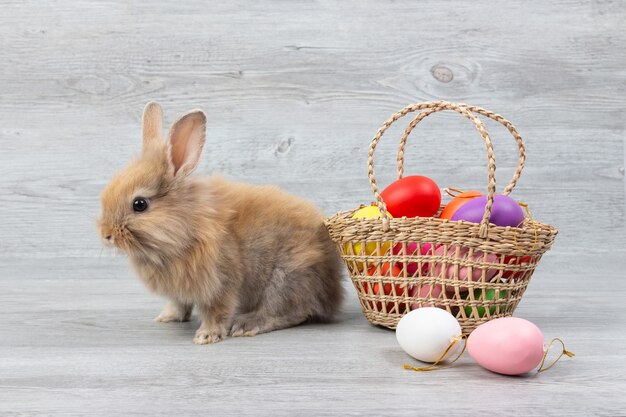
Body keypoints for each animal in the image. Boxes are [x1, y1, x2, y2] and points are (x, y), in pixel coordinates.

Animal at [98, 102, 344, 342]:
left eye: (139, 204)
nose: (106, 235)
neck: (187, 227)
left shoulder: (220, 283)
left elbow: (217, 311)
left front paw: (206, 336)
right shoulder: (181, 292)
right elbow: (179, 304)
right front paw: (167, 317)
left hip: (286, 279)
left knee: (290, 311)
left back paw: (246, 325)